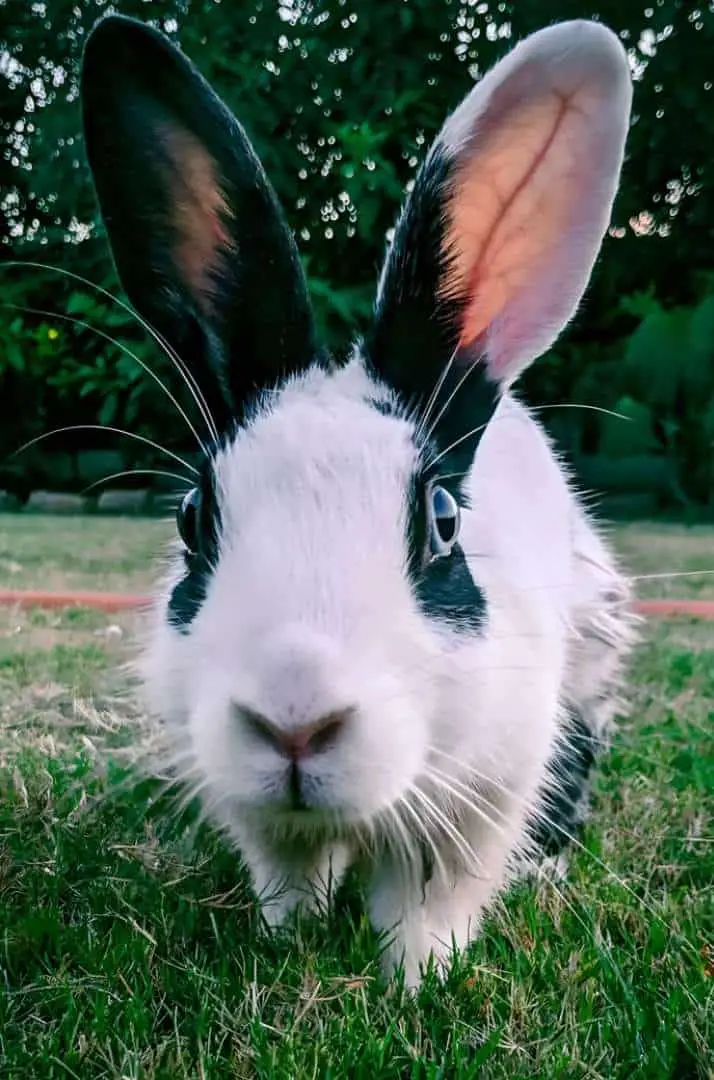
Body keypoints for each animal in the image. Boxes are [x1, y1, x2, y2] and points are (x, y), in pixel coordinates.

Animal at [81, 14, 630, 989]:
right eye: (192, 518)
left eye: (444, 521)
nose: (294, 725)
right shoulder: (262, 823)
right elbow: (290, 881)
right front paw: (284, 942)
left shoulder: (485, 797)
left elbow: (427, 906)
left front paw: (418, 984)